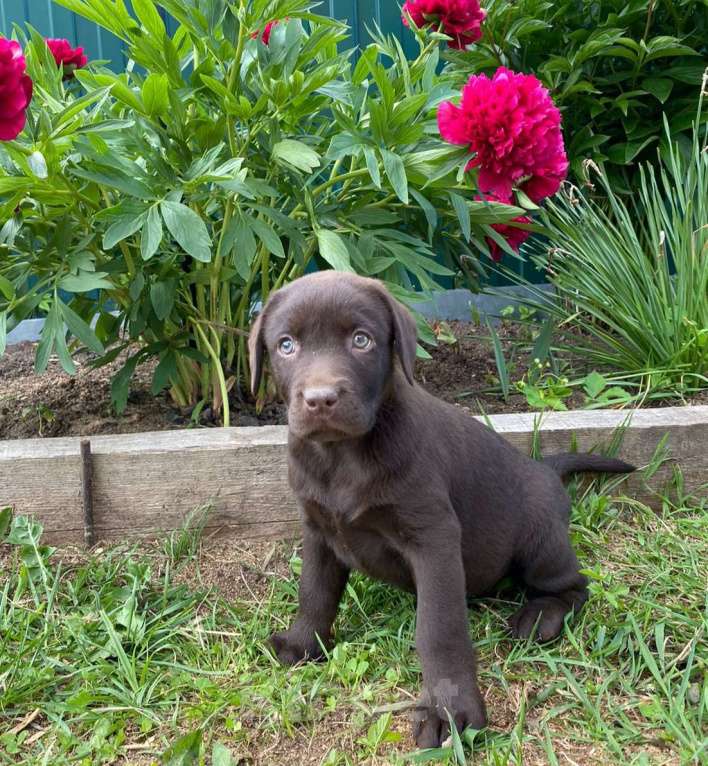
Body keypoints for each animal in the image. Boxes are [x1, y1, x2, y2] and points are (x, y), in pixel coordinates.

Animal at [248, 272, 632, 748]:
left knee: (574, 585)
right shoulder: (318, 529)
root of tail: (544, 470)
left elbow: (439, 629)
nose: (320, 399)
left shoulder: (433, 539)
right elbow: (314, 592)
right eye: (286, 345)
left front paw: (449, 709)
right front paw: (303, 645)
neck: (341, 457)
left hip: (540, 542)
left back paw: (540, 617)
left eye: (361, 340)